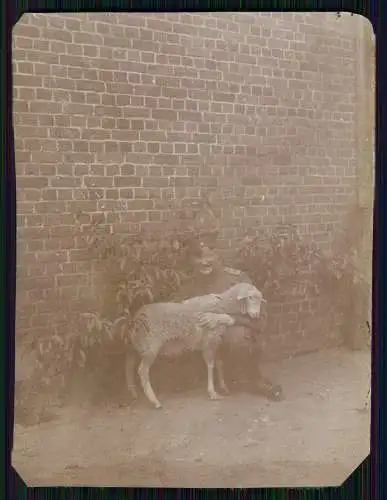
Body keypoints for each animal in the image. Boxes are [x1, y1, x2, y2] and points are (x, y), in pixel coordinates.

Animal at [126, 284, 266, 408]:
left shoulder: (216, 341)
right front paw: (212, 392)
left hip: (138, 345)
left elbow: (219, 364)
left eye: (260, 300)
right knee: (142, 371)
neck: (224, 305)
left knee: (129, 363)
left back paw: (133, 392)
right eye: (250, 297)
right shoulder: (210, 341)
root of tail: (137, 317)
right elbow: (210, 365)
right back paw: (154, 401)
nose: (256, 316)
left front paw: (223, 386)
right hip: (151, 346)